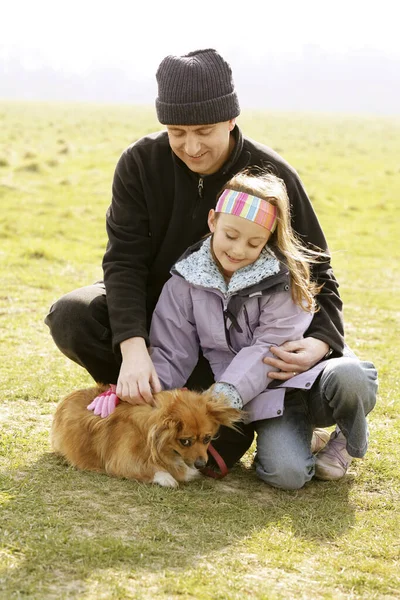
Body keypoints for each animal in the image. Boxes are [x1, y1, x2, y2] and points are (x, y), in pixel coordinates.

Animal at [51, 384, 242, 488]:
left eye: (207, 439)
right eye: (185, 441)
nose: (201, 464)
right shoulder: (121, 462)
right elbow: (149, 468)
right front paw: (167, 478)